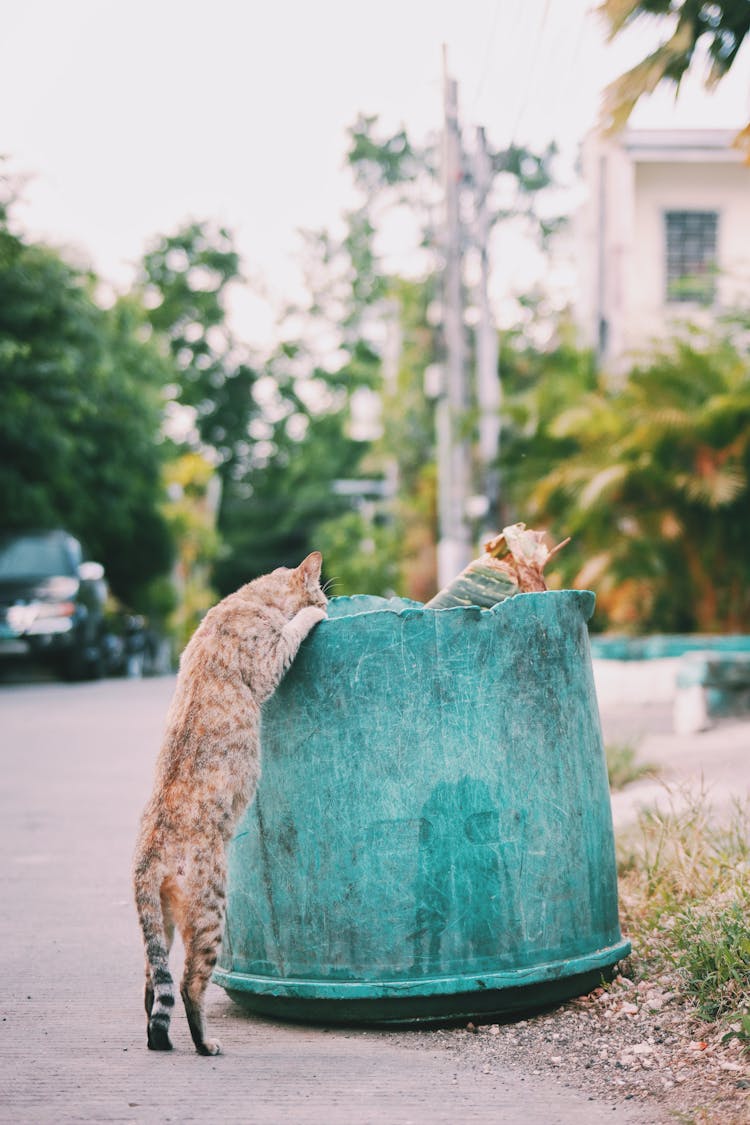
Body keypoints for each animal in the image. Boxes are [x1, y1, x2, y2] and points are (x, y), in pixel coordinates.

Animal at [133, 553, 326, 1053]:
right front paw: (311, 616)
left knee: (152, 985)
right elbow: (294, 629)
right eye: (322, 594)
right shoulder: (269, 660)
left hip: (160, 925)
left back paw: (159, 1040)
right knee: (187, 985)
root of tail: (148, 859)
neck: (246, 599)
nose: (329, 603)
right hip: (211, 912)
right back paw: (205, 1044)